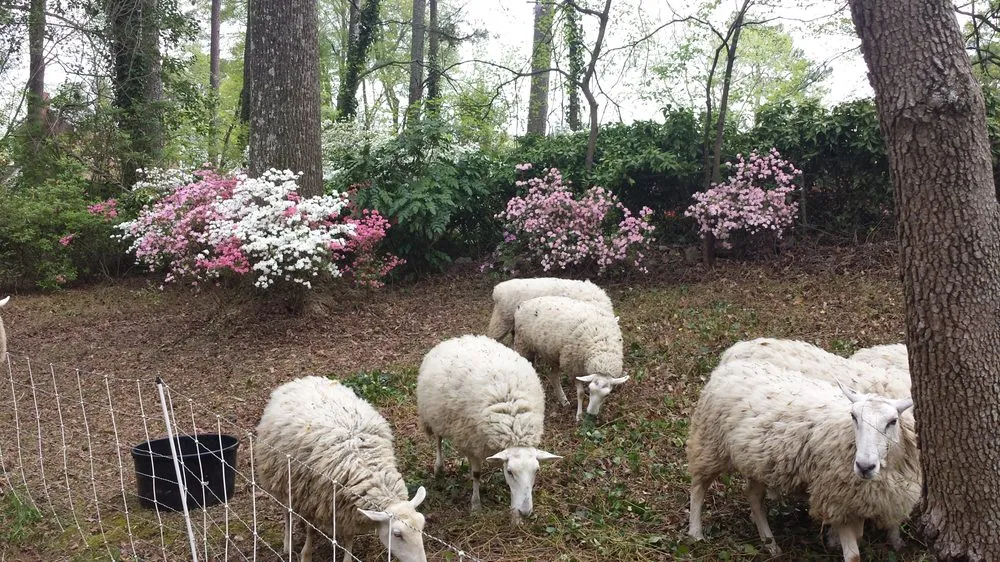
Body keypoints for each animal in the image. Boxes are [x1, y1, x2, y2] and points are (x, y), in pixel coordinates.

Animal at [255, 376, 428, 562]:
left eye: (422, 524)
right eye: (397, 534)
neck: (363, 464)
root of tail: (304, 379)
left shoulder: (345, 509)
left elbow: (348, 535)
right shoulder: (310, 498)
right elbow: (310, 529)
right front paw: (306, 554)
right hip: (282, 478)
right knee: (287, 511)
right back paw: (288, 544)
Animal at [417, 334, 560, 522]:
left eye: (536, 470)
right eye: (510, 472)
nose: (526, 512)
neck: (514, 424)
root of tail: (459, 338)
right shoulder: (472, 442)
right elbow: (476, 474)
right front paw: (476, 505)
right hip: (434, 414)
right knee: (439, 439)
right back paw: (438, 468)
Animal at [687, 360, 920, 562]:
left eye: (893, 421)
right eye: (853, 416)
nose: (864, 466)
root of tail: (727, 367)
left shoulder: (878, 496)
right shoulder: (835, 498)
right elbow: (853, 555)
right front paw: (837, 541)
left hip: (757, 460)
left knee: (753, 496)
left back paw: (770, 544)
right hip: (710, 444)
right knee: (698, 486)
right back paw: (695, 532)